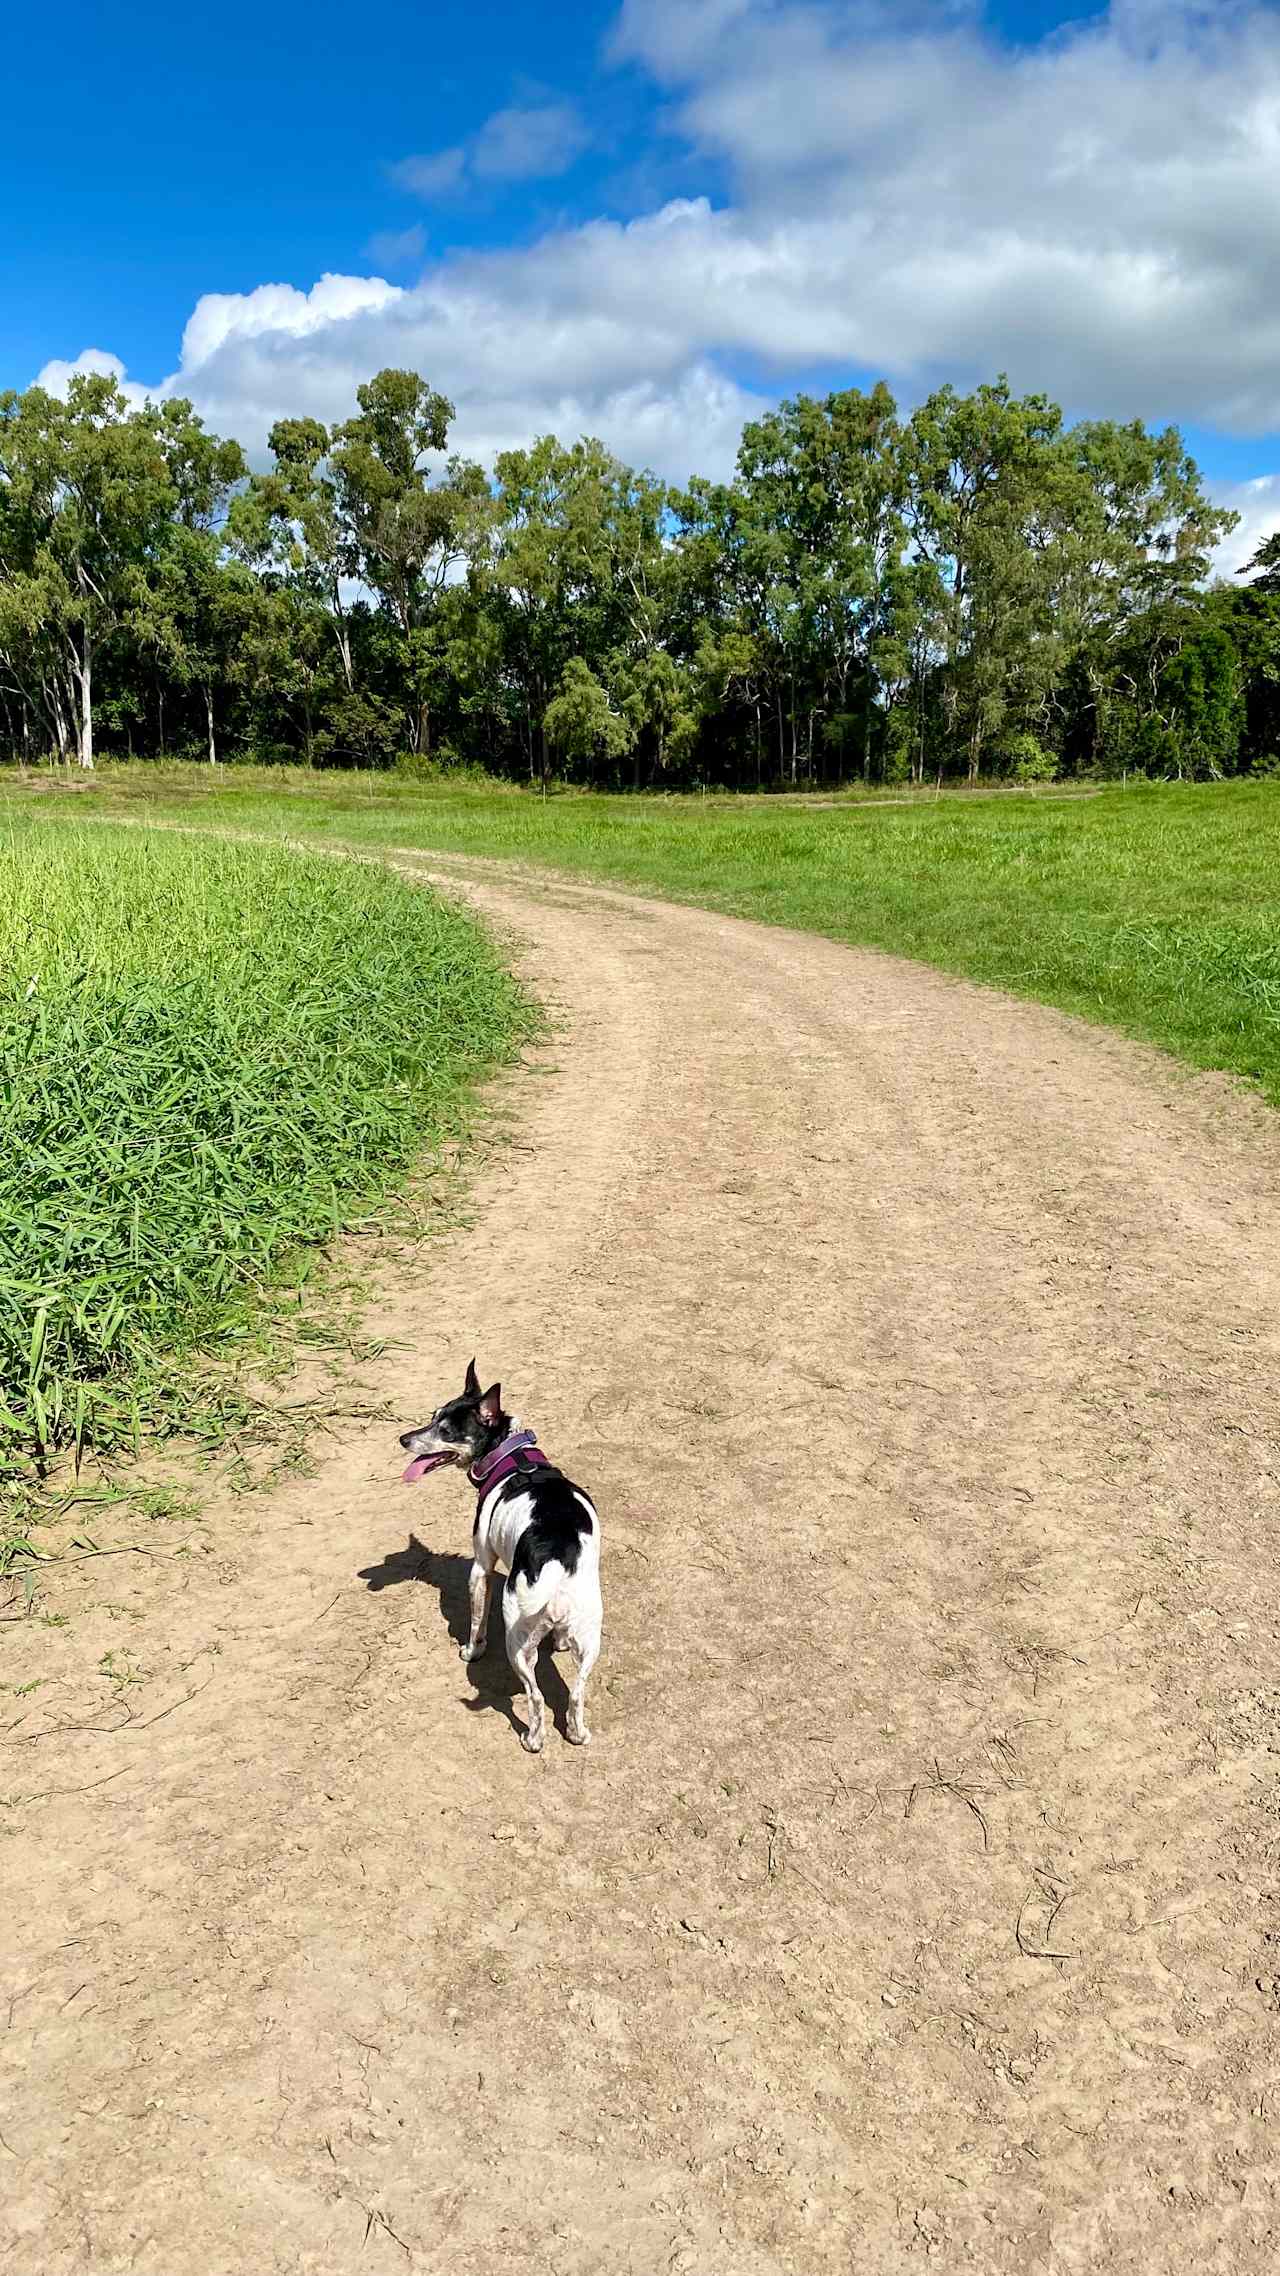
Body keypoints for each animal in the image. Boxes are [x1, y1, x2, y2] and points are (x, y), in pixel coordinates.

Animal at [396, 1356, 601, 1747]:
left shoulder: (480, 1567)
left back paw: (533, 1739)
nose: (403, 1439)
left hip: (517, 1641)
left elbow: (476, 1621)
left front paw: (471, 1651)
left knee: (535, 1696)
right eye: (432, 1416)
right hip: (591, 1637)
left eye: (445, 1430)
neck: (514, 1456)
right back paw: (577, 1732)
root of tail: (557, 1572)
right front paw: (559, 1643)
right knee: (577, 1692)